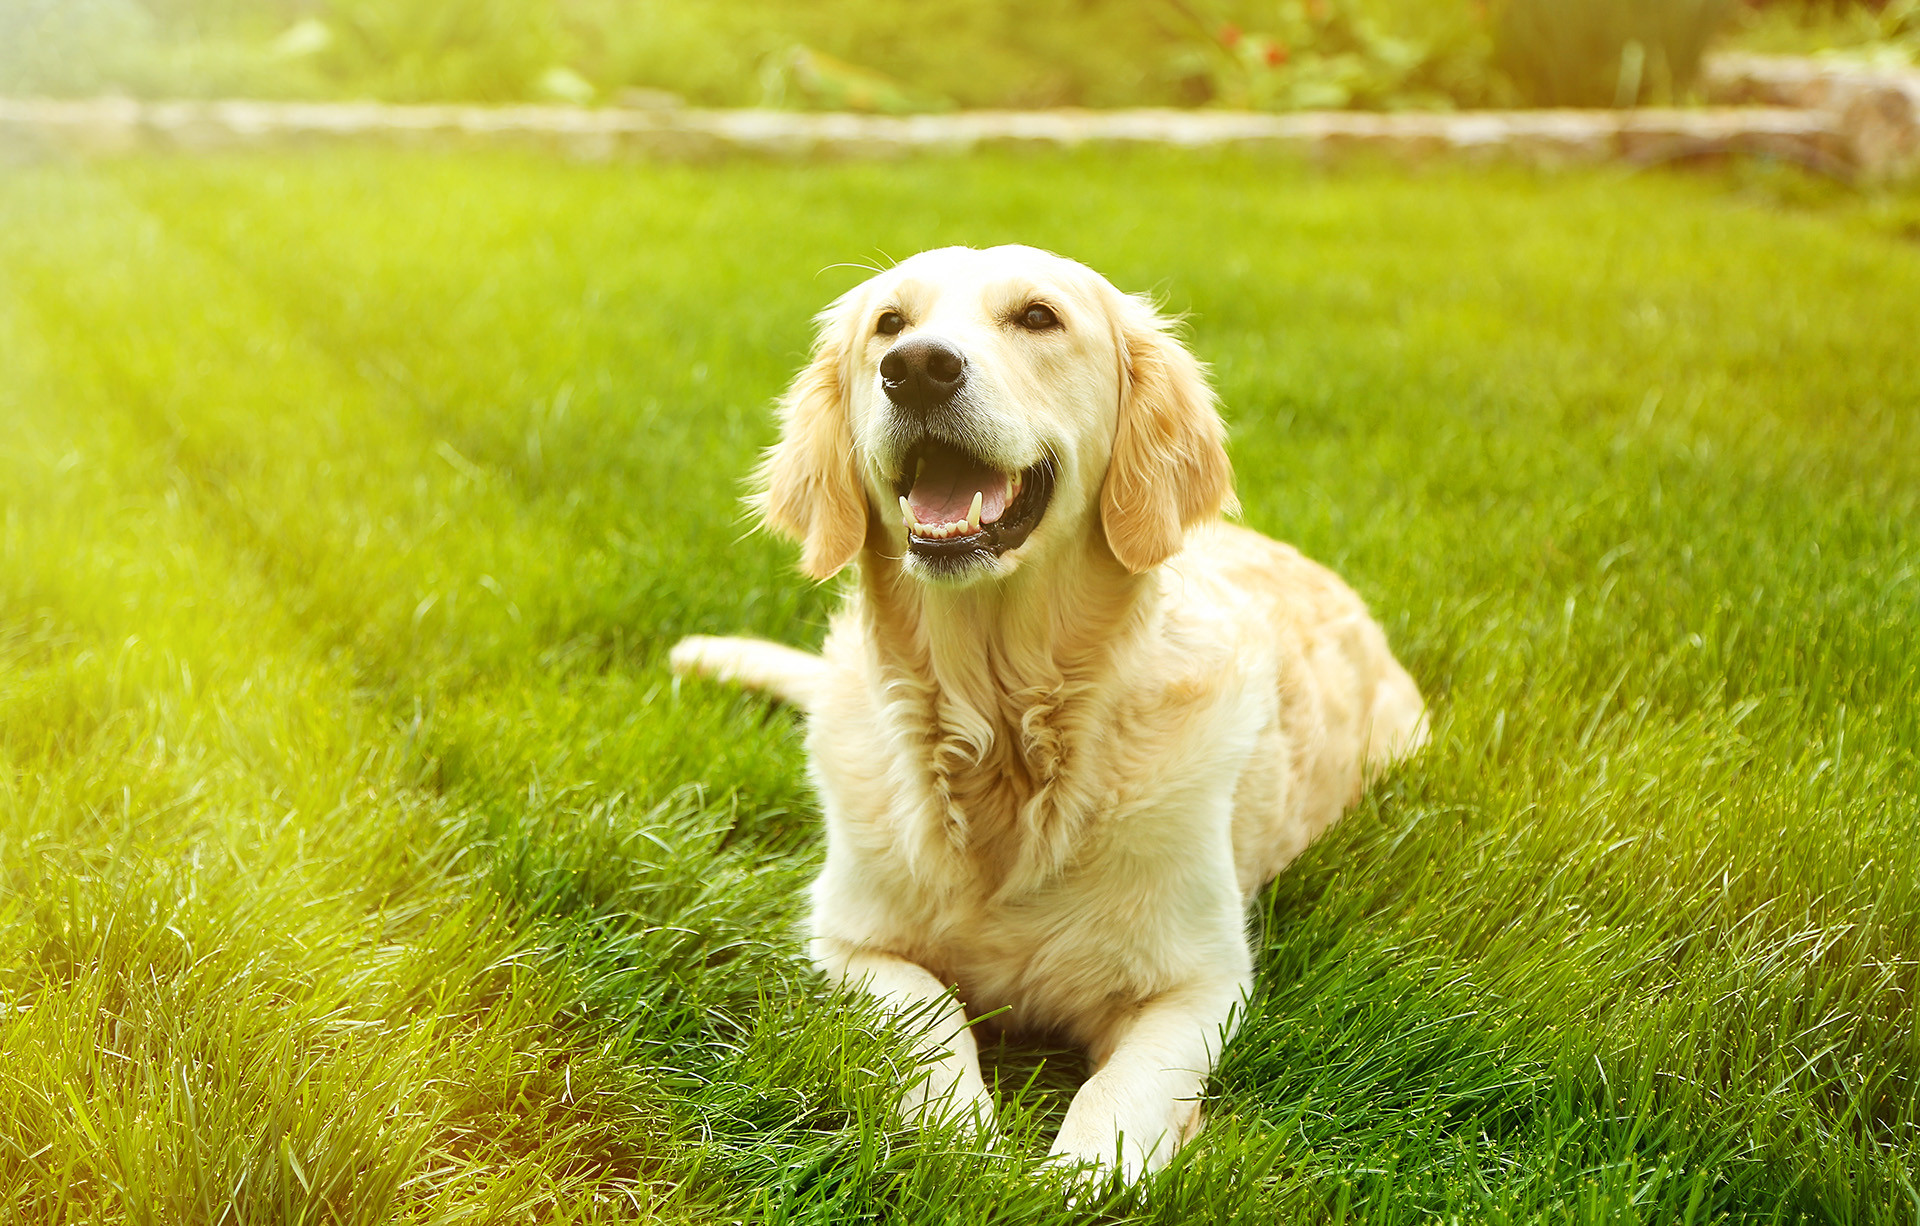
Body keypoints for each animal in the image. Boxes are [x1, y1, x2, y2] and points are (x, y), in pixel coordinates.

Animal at [675, 247, 1428, 1181]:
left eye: (1038, 317)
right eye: (889, 324)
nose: (915, 369)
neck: (1005, 732)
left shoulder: (1201, 982)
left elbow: (1118, 1099)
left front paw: (1068, 1180)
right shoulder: (849, 940)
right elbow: (931, 1022)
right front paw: (963, 1143)